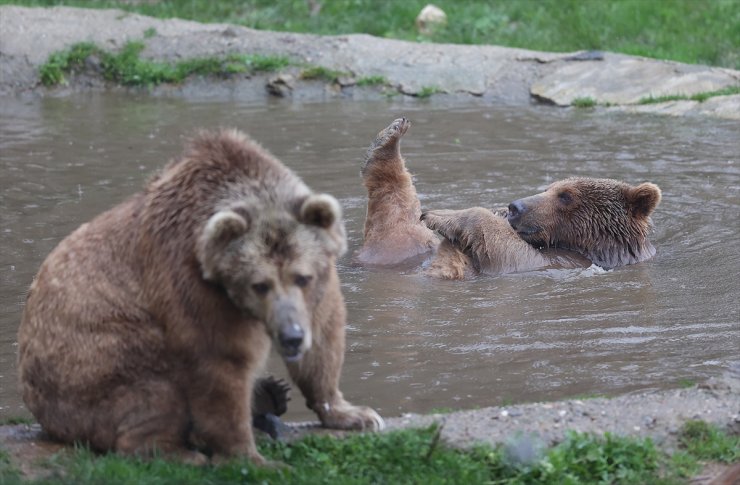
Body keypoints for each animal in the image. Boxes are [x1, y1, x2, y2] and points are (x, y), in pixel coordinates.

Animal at [20, 126, 384, 464]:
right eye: (259, 284)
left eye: (302, 277)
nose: (291, 336)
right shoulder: (189, 282)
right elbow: (219, 362)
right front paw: (251, 457)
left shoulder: (319, 286)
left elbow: (324, 336)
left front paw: (355, 413)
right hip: (91, 363)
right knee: (151, 388)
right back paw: (178, 451)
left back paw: (268, 397)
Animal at [356, 116, 660, 280]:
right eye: (550, 187)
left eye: (565, 196)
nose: (515, 206)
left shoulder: (558, 263)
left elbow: (506, 250)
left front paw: (444, 215)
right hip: (409, 251)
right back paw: (389, 137)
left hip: (398, 246)